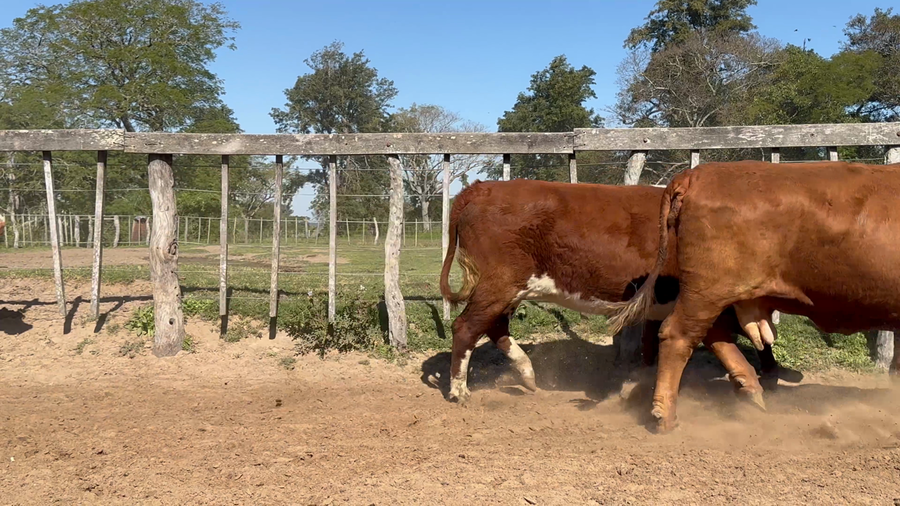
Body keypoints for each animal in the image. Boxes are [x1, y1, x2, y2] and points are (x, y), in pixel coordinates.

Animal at [438, 179, 778, 406]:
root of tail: (481, 188)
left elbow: (651, 349)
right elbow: (741, 341)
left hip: (509, 290)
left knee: (494, 327)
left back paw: (528, 376)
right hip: (499, 283)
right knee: (466, 327)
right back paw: (459, 391)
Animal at [602, 160, 900, 433]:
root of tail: (697, 174)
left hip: (716, 294)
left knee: (714, 334)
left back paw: (750, 391)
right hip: (706, 289)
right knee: (678, 335)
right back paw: (664, 415)